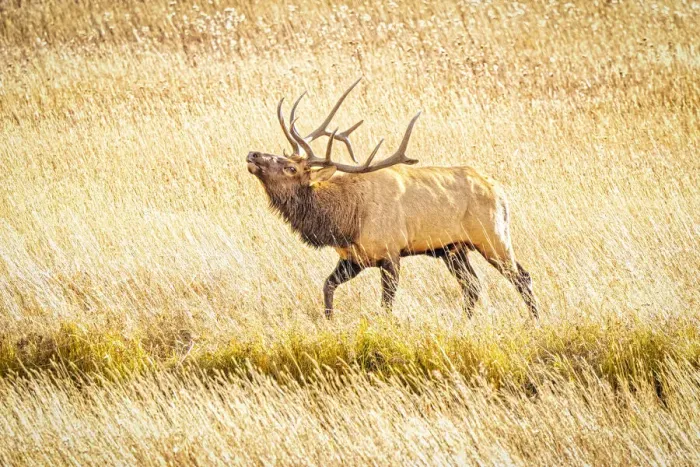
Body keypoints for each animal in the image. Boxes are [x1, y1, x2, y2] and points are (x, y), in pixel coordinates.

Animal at [246, 78, 538, 319]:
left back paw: (534, 321)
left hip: (492, 236)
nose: (253, 154)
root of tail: (500, 192)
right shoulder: (353, 258)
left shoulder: (391, 252)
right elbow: (327, 286)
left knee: (521, 276)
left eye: (290, 168)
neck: (345, 222)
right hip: (453, 248)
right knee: (473, 286)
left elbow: (386, 305)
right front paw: (329, 321)